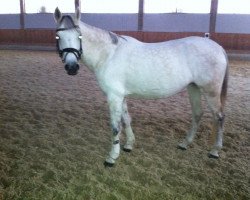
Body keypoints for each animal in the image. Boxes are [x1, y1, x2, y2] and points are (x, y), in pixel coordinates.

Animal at [53, 7, 229, 167]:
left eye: (79, 35)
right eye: (58, 36)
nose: (71, 67)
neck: (109, 55)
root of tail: (218, 48)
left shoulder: (113, 97)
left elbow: (115, 127)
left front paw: (112, 157)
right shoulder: (120, 96)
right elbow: (126, 120)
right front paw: (129, 145)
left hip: (210, 91)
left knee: (219, 116)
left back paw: (215, 151)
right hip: (193, 88)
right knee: (198, 114)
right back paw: (185, 144)